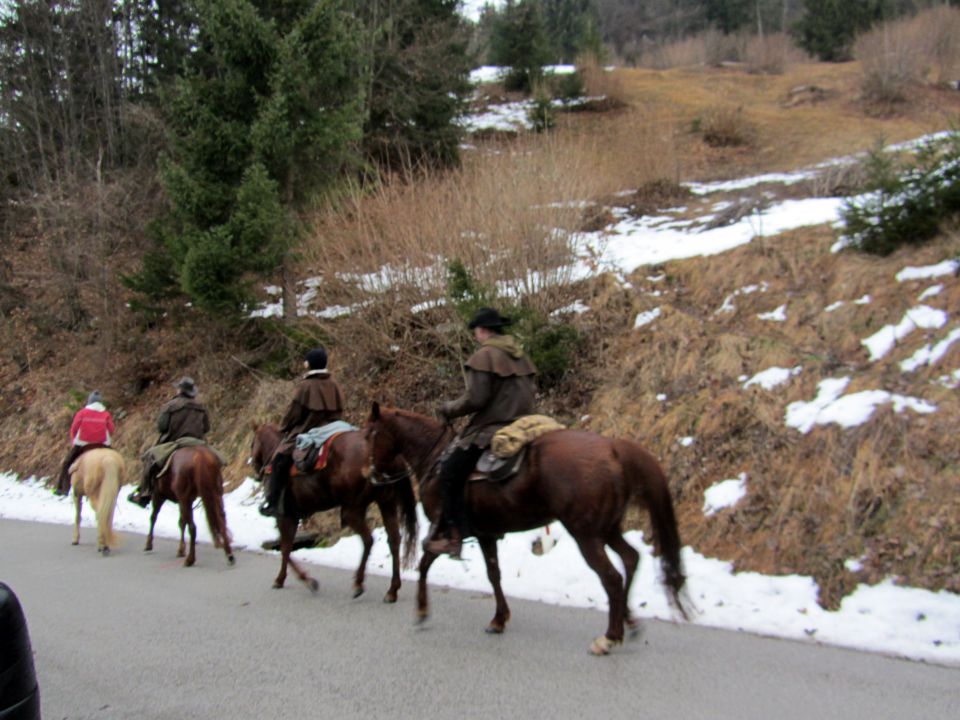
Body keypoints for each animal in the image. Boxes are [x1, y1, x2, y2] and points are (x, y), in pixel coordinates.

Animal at [249, 422, 418, 600]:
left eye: (252, 444)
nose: (254, 467)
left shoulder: (285, 517)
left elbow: (285, 548)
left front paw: (294, 580)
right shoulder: (292, 517)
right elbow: (286, 548)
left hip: (352, 510)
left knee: (368, 540)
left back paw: (358, 583)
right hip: (386, 503)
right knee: (394, 540)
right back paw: (392, 590)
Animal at [362, 402, 688, 656]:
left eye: (368, 435)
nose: (368, 473)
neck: (435, 458)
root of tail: (612, 448)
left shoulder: (443, 531)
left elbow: (425, 564)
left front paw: (420, 610)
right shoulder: (486, 535)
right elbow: (494, 574)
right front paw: (499, 619)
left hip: (586, 535)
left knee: (611, 577)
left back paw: (609, 638)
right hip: (607, 529)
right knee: (631, 559)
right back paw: (629, 621)